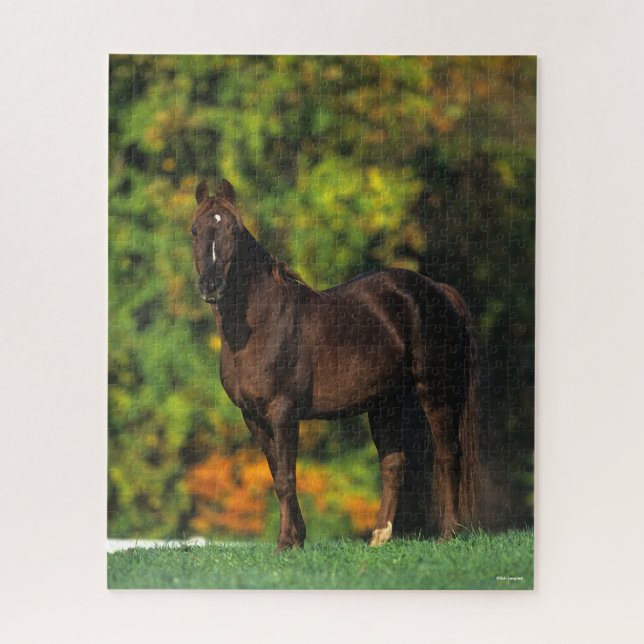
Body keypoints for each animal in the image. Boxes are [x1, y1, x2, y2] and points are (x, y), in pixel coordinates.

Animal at [191, 179, 479, 550]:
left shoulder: (283, 412)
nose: (211, 286)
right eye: (195, 230)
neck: (261, 324)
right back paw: (379, 537)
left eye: (234, 230)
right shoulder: (253, 417)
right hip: (385, 402)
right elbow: (277, 475)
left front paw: (286, 543)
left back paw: (448, 535)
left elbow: (286, 477)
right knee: (393, 465)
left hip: (436, 390)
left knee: (448, 456)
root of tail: (437, 289)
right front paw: (296, 539)